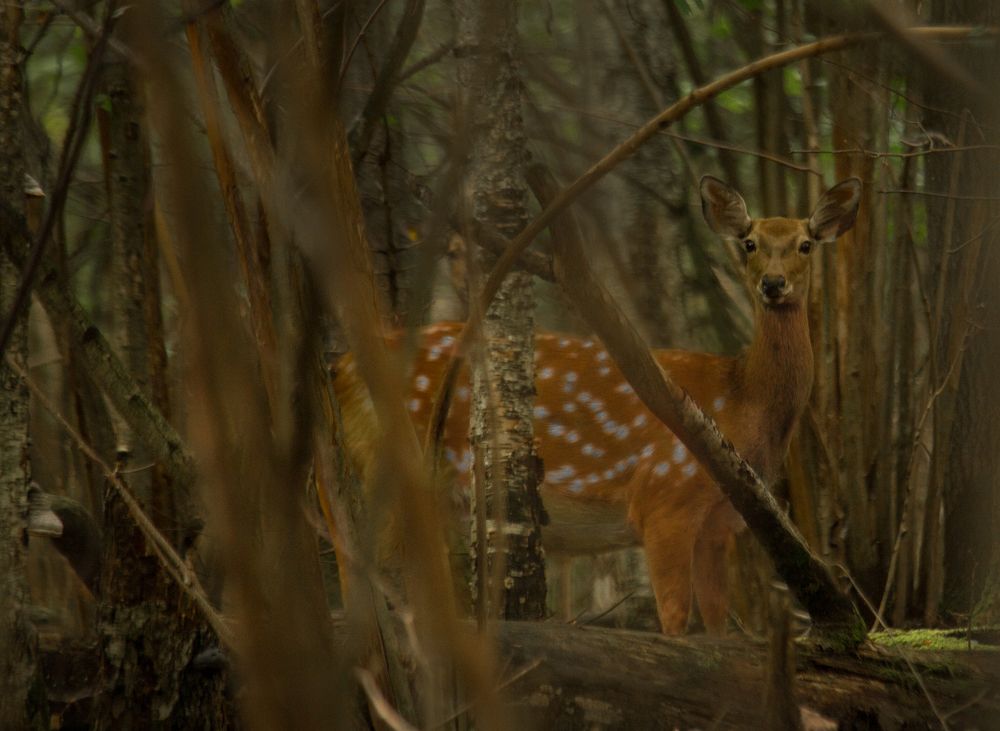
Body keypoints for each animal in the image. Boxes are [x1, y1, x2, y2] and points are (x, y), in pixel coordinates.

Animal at [334, 176, 861, 634]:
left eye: (805, 244)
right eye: (749, 242)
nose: (773, 284)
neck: (742, 400)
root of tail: (340, 368)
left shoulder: (719, 525)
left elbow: (717, 626)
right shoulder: (664, 496)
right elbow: (675, 623)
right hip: (394, 464)